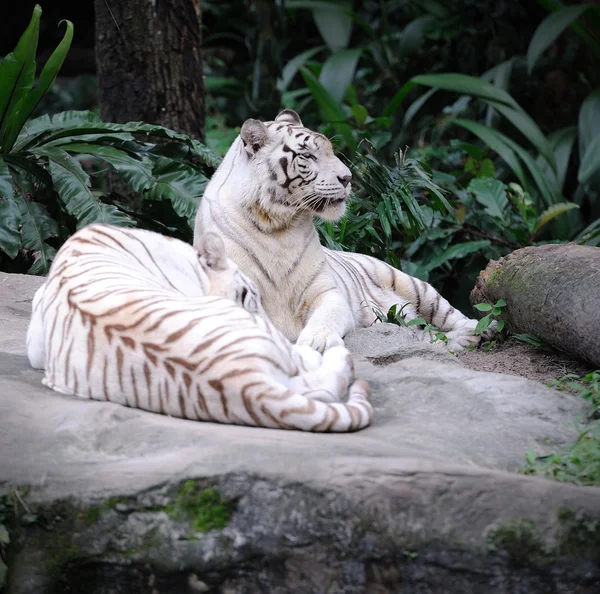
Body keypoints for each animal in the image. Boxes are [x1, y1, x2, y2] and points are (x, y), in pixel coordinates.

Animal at [193, 108, 496, 352]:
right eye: (307, 156)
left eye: (330, 151)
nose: (347, 177)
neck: (277, 225)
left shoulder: (326, 291)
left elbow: (327, 315)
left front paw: (317, 341)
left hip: (412, 284)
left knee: (452, 317)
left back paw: (479, 330)